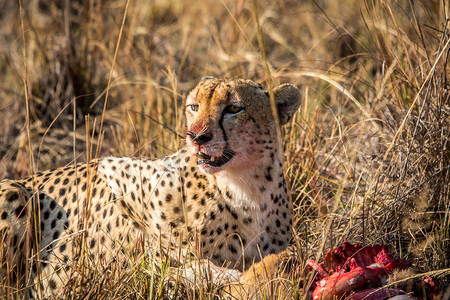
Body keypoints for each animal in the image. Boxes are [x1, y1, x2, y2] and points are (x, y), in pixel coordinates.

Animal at [1, 77, 302, 298]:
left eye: (234, 108)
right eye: (194, 107)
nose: (196, 137)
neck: (245, 187)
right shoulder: (143, 264)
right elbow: (190, 271)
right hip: (14, 190)